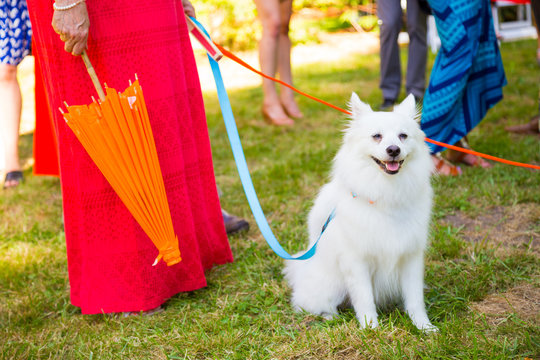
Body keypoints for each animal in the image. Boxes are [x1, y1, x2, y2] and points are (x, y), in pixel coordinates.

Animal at [284, 93, 436, 332]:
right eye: (377, 136)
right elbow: (365, 298)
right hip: (332, 286)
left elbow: (415, 298)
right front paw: (370, 328)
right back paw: (331, 317)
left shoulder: (411, 256)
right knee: (309, 305)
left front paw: (424, 326)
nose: (393, 150)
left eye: (403, 136)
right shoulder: (357, 261)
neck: (386, 194)